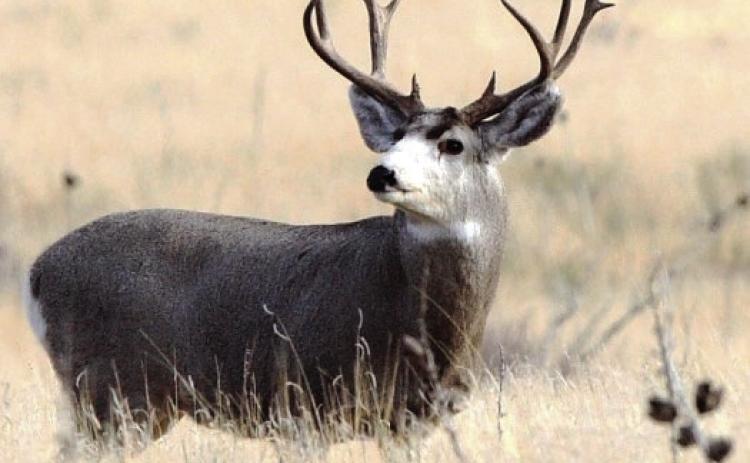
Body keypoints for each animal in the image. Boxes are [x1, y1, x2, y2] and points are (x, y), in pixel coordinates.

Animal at [23, 0, 611, 441]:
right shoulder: (304, 405)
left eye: (453, 144)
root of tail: (36, 273)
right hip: (114, 392)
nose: (381, 172)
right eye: (397, 136)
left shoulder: (411, 423)